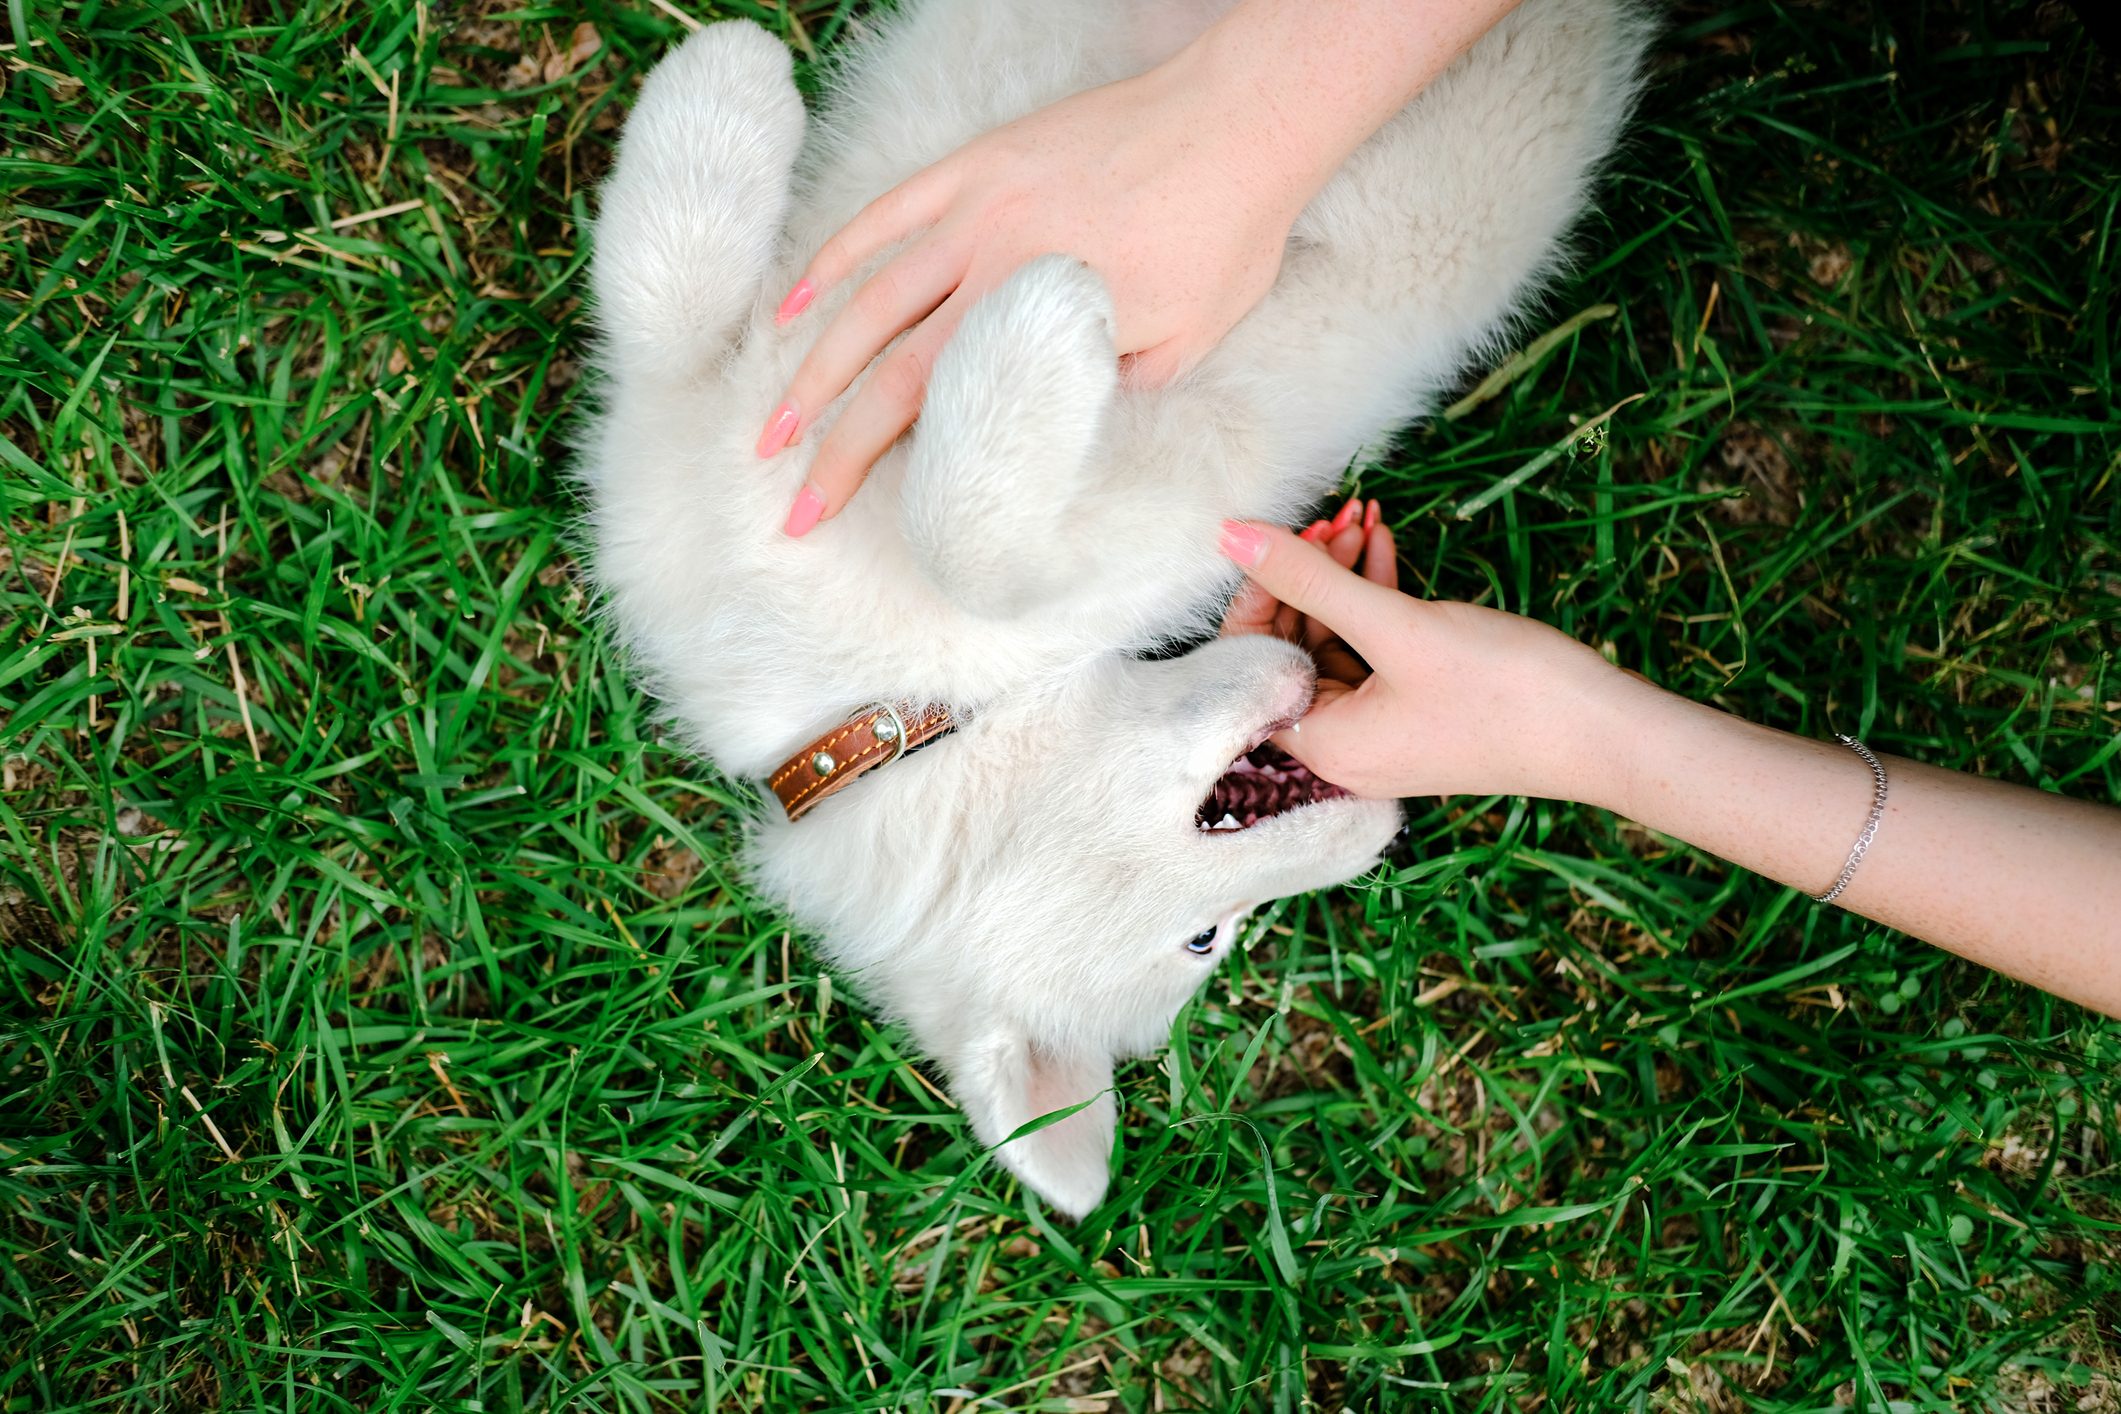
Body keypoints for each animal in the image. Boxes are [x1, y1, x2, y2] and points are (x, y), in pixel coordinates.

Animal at [585, 0, 1654, 1221]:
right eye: (1206, 941)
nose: (1382, 829)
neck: (863, 706)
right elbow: (695, 337)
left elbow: (683, 321)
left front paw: (729, 85)